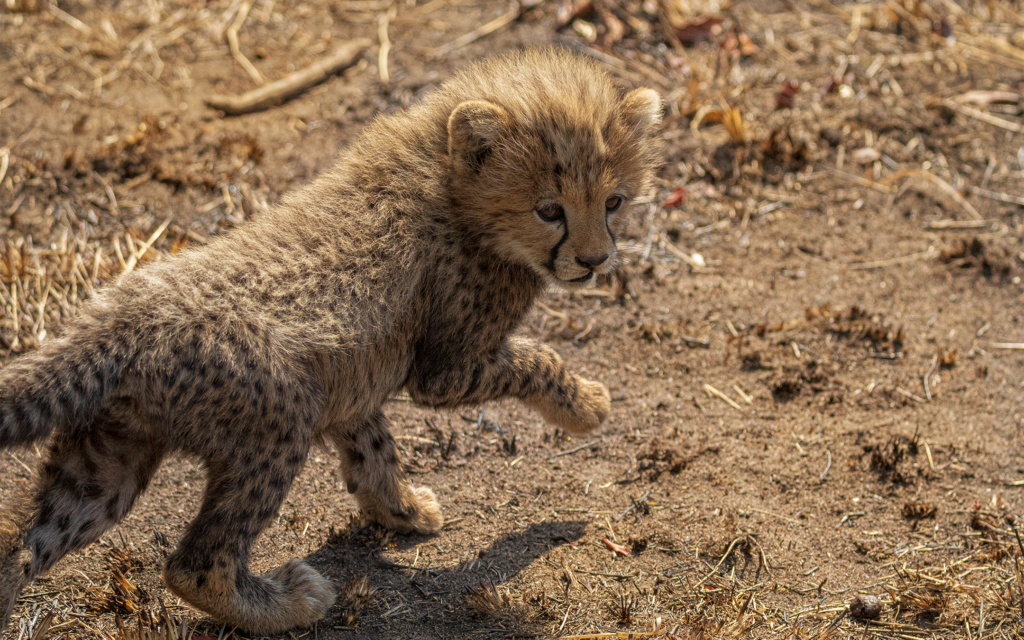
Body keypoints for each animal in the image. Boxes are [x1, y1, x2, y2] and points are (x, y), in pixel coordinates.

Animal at [0, 48, 661, 635]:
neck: (446, 180)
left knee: (25, 544)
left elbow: (374, 451)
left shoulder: (353, 376)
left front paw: (402, 511)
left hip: (109, 454)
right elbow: (537, 359)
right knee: (196, 563)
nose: (595, 261)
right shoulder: (445, 371)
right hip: (276, 422)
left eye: (613, 201)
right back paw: (290, 604)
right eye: (550, 210)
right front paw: (587, 406)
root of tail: (120, 312)